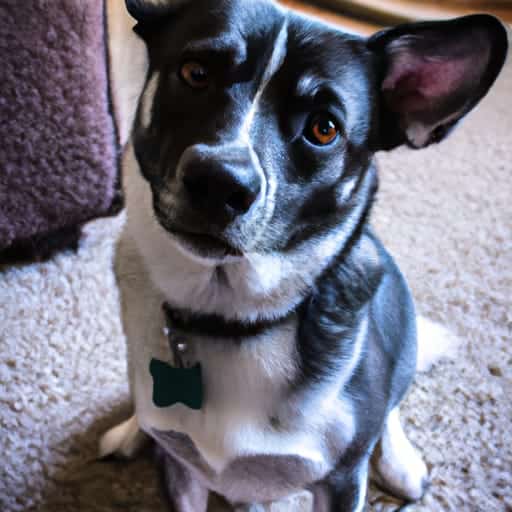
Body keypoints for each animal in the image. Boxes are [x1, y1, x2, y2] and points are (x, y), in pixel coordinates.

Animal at [98, 2, 506, 510]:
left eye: (323, 128)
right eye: (196, 73)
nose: (219, 184)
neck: (231, 317)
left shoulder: (342, 481)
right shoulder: (179, 467)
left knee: (391, 404)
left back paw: (400, 463)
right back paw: (130, 430)